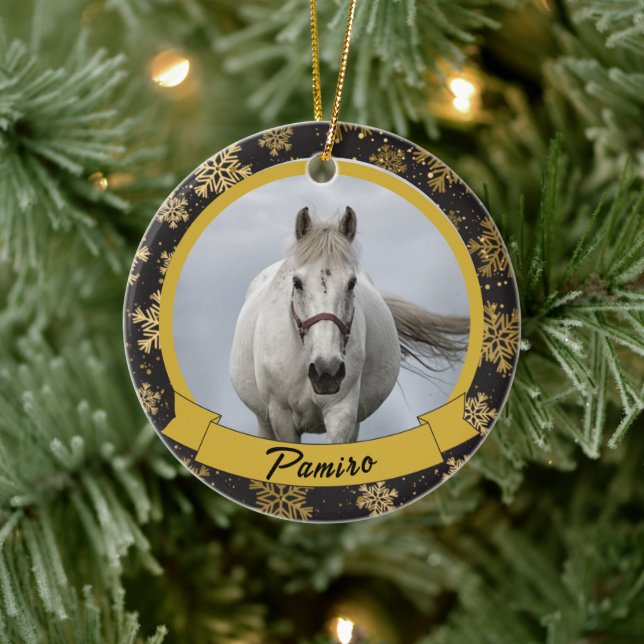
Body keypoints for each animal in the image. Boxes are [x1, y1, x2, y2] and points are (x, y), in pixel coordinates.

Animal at [229, 206, 469, 444]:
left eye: (352, 283)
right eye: (297, 283)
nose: (326, 371)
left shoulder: (341, 412)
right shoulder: (282, 417)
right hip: (264, 420)